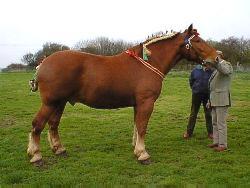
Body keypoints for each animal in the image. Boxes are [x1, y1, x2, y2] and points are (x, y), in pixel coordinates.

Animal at [27, 24, 219, 164]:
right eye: (198, 40)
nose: (216, 57)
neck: (148, 62)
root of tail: (43, 63)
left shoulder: (138, 104)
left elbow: (136, 126)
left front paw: (136, 148)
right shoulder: (146, 102)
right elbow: (142, 127)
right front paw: (143, 154)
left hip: (60, 103)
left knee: (53, 124)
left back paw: (59, 149)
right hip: (51, 103)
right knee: (37, 124)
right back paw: (36, 155)